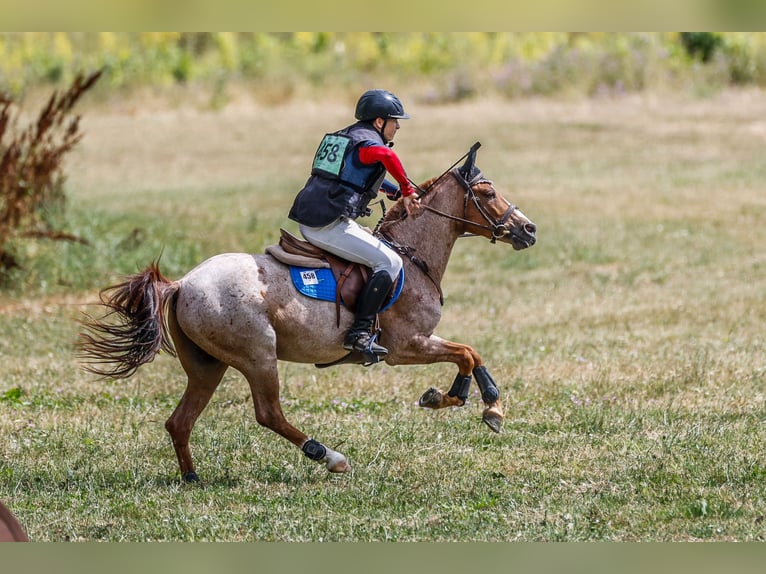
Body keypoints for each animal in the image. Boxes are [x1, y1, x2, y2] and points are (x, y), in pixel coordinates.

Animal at [76, 143, 536, 482]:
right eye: (488, 193)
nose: (528, 230)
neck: (413, 254)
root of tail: (182, 283)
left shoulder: (420, 343)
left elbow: (471, 353)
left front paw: (476, 403)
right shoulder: (407, 345)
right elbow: (466, 353)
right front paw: (463, 400)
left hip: (208, 366)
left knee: (180, 422)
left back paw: (192, 477)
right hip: (258, 355)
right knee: (268, 413)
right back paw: (329, 456)